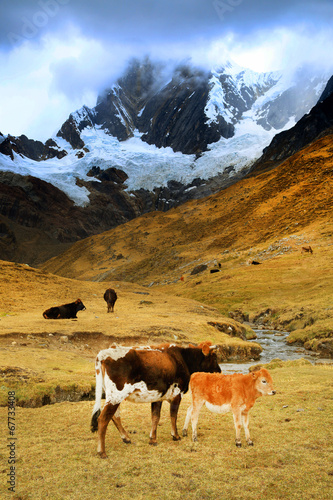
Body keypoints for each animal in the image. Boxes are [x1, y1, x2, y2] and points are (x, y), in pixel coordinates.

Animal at [91, 342, 220, 458]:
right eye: (214, 358)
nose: (219, 371)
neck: (183, 359)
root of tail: (104, 353)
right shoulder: (177, 393)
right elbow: (173, 415)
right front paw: (176, 436)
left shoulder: (158, 396)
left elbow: (155, 417)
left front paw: (152, 439)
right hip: (116, 396)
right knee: (103, 419)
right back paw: (102, 452)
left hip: (113, 396)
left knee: (115, 416)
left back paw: (126, 438)